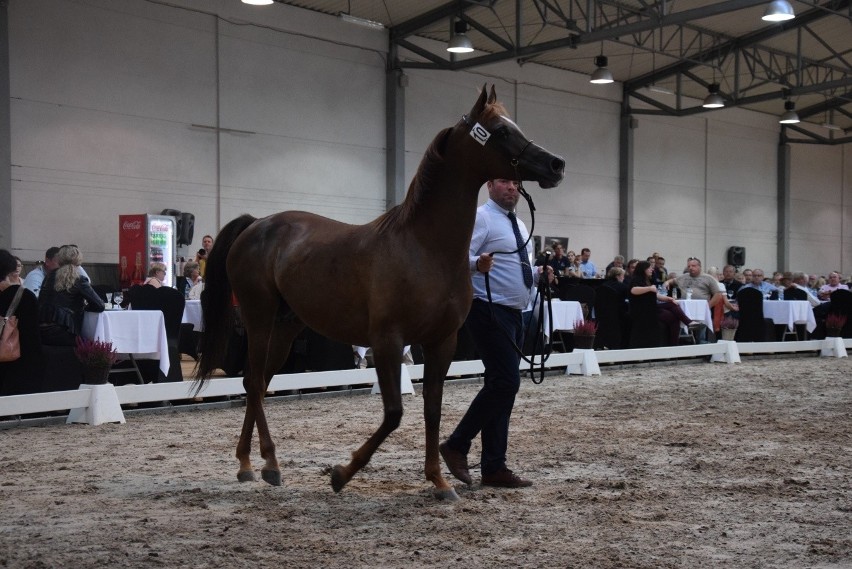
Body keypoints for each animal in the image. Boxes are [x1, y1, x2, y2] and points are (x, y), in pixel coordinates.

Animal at [196, 84, 564, 496]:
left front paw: (439, 481)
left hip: (286, 327)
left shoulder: (442, 342)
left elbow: (432, 410)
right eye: (500, 131)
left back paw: (248, 463)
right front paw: (342, 474)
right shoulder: (387, 341)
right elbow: (394, 414)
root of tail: (256, 224)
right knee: (255, 381)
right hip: (259, 318)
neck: (424, 247)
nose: (555, 165)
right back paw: (269, 464)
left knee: (256, 384)